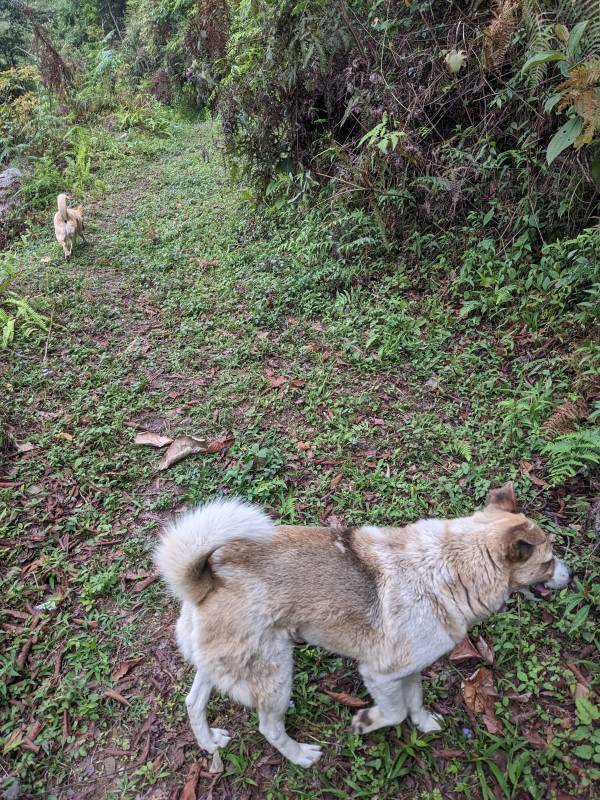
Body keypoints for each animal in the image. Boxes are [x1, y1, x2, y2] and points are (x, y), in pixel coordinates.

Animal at [155, 484, 572, 764]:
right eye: (549, 561)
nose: (572, 575)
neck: (448, 569)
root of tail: (205, 580)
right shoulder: (379, 673)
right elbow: (395, 711)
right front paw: (366, 721)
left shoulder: (410, 669)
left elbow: (415, 702)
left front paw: (425, 724)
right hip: (276, 668)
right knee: (268, 727)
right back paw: (300, 755)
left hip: (226, 662)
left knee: (194, 702)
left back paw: (209, 742)